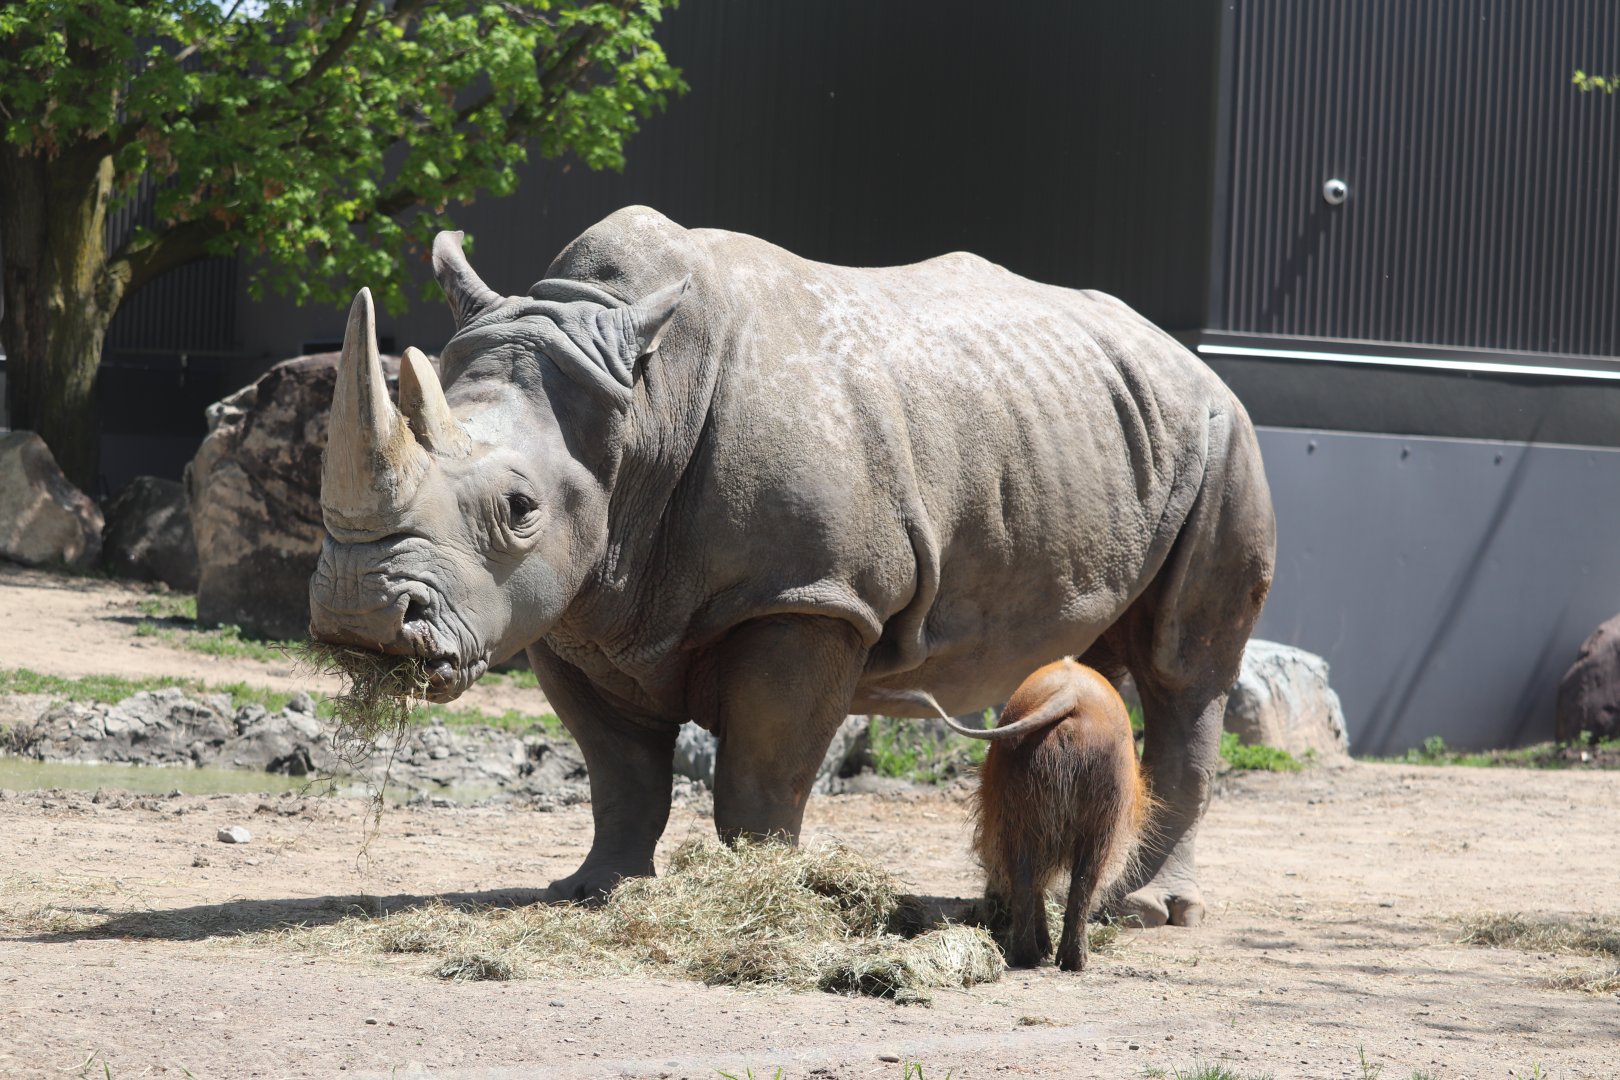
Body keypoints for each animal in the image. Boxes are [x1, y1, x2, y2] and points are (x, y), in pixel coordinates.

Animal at [308, 206, 1275, 926]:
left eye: (519, 511)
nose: (362, 617)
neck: (637, 415)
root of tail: (1184, 352)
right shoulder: (576, 612)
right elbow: (618, 771)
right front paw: (593, 891)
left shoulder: (808, 598)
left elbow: (761, 770)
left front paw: (762, 888)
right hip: (1091, 433)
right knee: (1089, 667)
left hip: (1224, 435)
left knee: (1184, 674)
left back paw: (1144, 911)